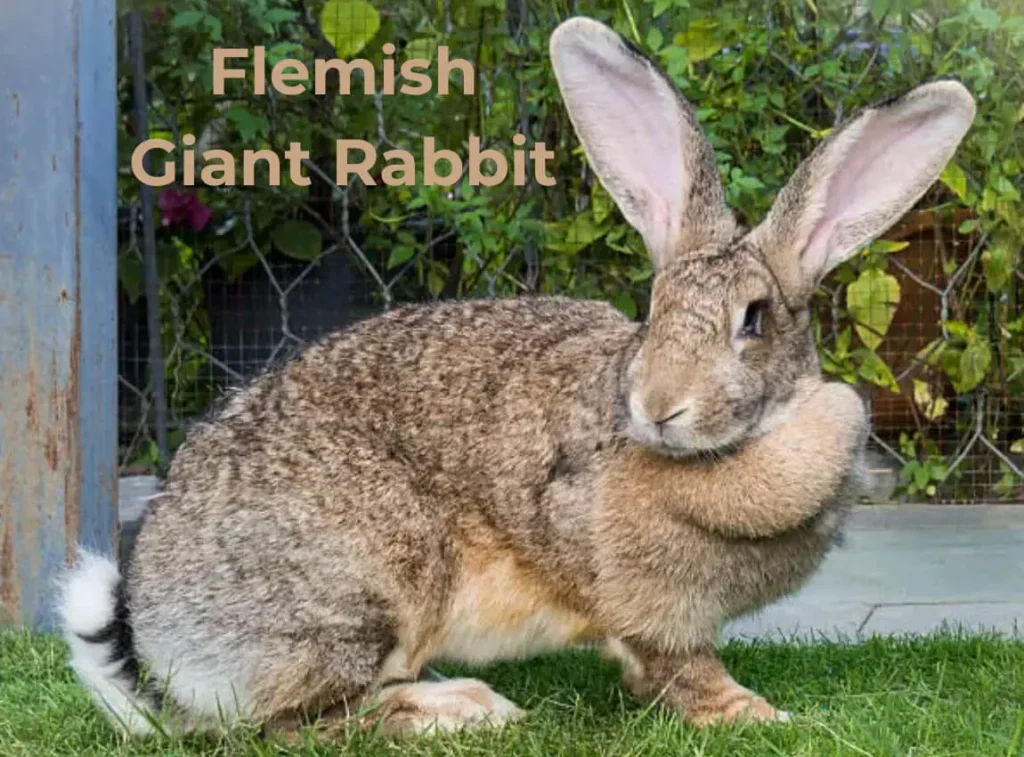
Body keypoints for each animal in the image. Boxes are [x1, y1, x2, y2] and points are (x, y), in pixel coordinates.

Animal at [58, 14, 974, 741]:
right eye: (652, 309)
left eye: (754, 320)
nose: (657, 407)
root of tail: (158, 637)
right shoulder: (650, 606)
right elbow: (681, 668)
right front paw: (759, 715)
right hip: (364, 588)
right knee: (295, 725)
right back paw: (461, 709)